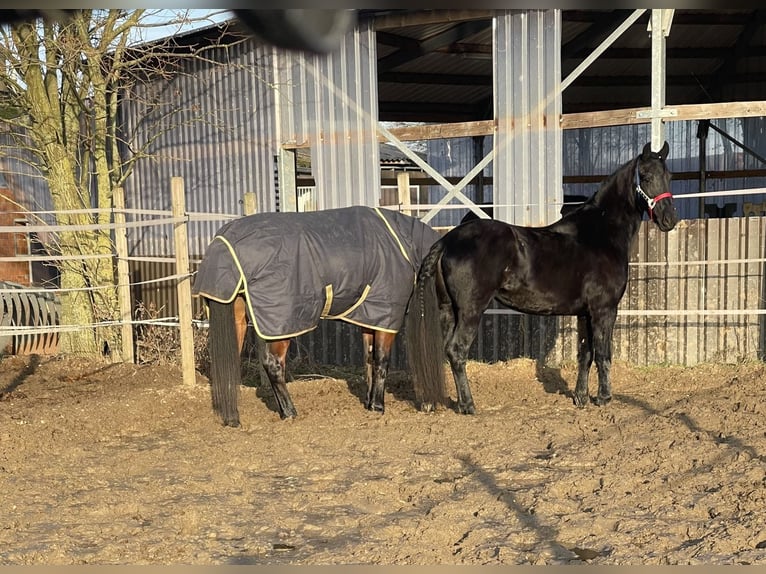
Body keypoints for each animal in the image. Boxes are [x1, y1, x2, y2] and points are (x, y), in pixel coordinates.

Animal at [192, 205, 442, 426]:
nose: (430, 406)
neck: (401, 244)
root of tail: (223, 244)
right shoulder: (385, 316)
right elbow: (381, 361)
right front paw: (379, 407)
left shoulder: (370, 317)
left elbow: (369, 361)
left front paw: (370, 405)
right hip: (282, 323)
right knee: (273, 364)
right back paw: (289, 413)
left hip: (236, 318)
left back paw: (233, 418)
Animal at [406, 141, 679, 414]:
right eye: (645, 176)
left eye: (669, 176)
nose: (669, 220)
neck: (600, 234)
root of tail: (446, 241)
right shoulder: (604, 310)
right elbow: (603, 354)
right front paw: (603, 398)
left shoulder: (585, 313)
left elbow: (586, 354)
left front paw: (581, 398)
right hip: (470, 310)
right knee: (457, 350)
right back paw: (469, 405)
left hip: (448, 309)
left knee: (444, 351)